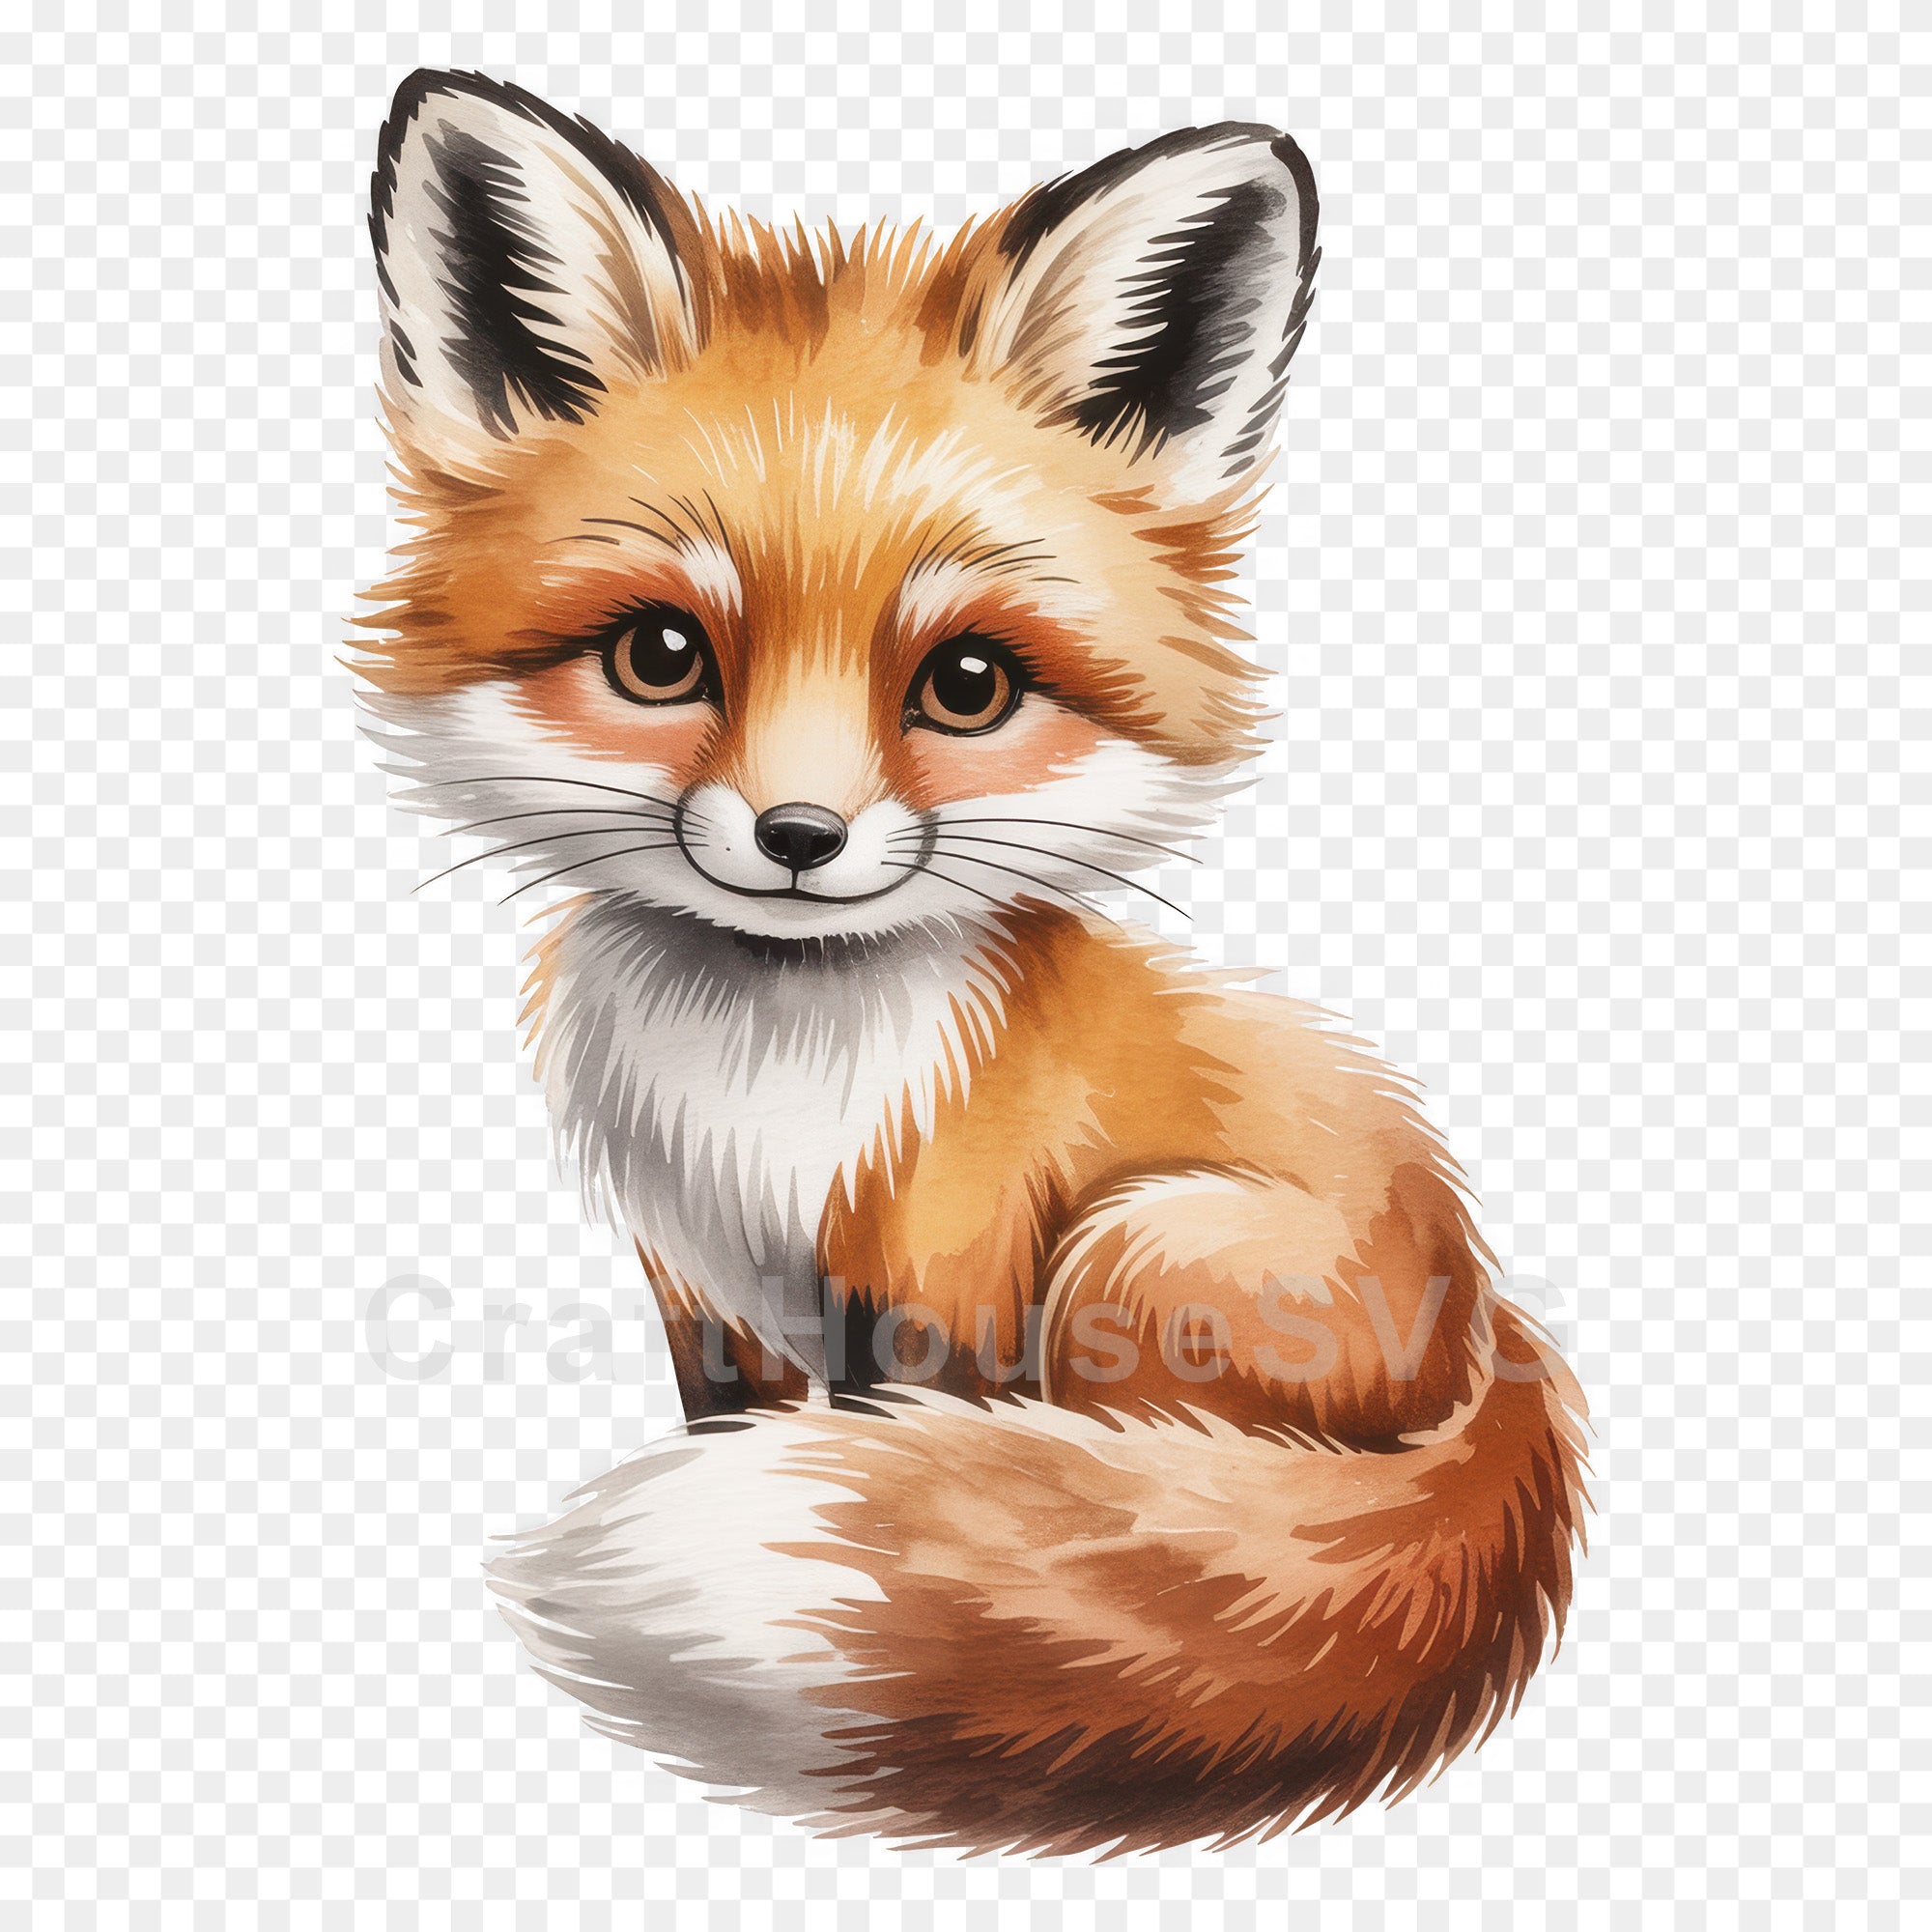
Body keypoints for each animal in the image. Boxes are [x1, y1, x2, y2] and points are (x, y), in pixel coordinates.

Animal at [358, 69, 1588, 1857]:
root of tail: (1495, 1346)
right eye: (660, 655)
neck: (763, 1095)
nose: (797, 837)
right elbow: (737, 1420)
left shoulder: (947, 1288)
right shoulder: (703, 1300)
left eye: (966, 685)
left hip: (1136, 1255)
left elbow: (933, 1458)